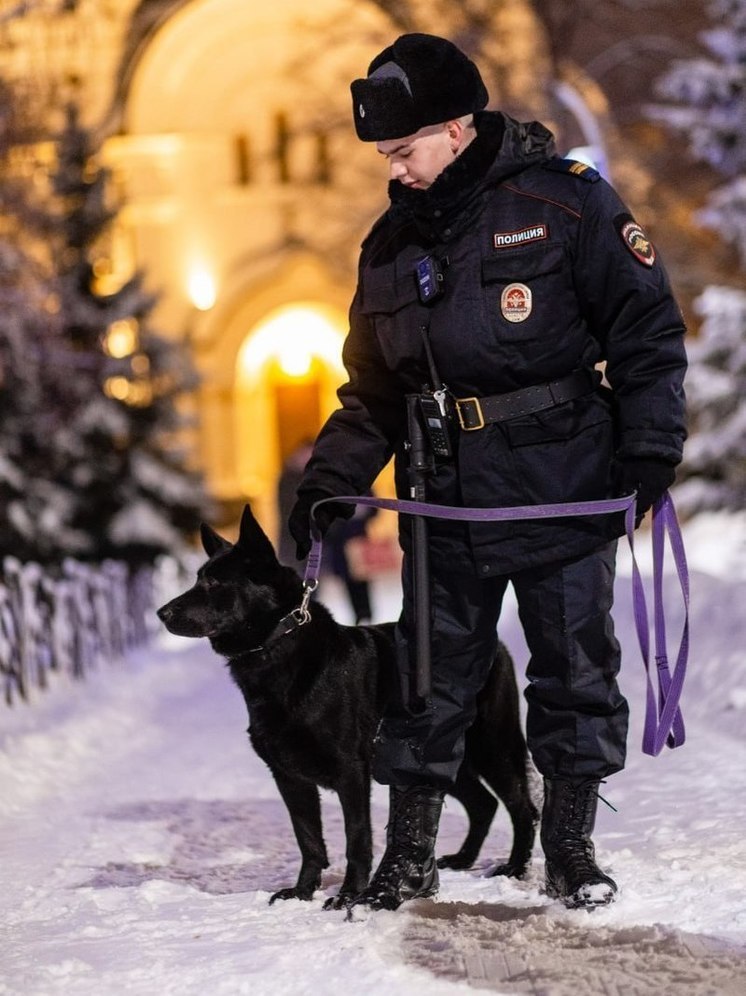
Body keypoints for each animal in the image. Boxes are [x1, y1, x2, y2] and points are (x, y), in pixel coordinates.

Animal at [158, 510, 536, 908]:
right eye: (198, 578)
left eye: (214, 581)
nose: (161, 613)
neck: (278, 648)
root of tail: (495, 646)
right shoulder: (288, 777)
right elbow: (308, 839)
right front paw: (302, 892)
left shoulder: (350, 773)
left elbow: (357, 838)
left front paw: (349, 895)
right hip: (440, 759)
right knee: (482, 804)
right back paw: (463, 859)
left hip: (492, 747)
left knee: (522, 808)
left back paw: (515, 867)